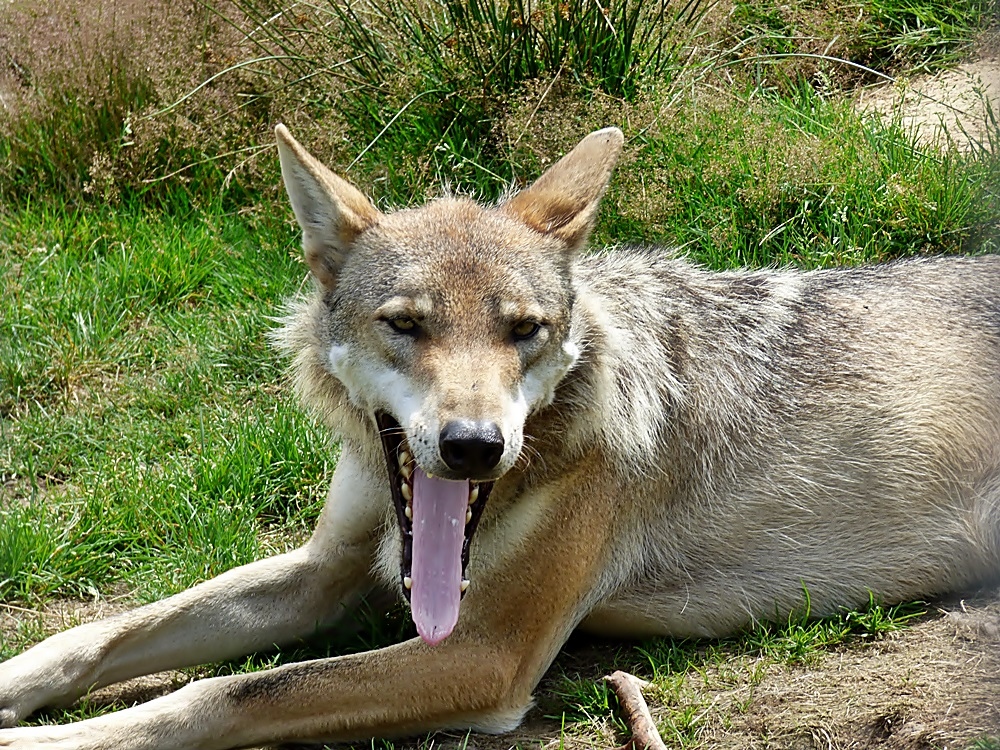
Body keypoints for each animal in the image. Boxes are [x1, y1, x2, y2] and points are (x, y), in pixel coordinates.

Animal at [1, 126, 1000, 748]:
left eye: (524, 330)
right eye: (405, 324)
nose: (475, 446)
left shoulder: (484, 655)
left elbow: (223, 692)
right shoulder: (323, 571)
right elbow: (101, 633)